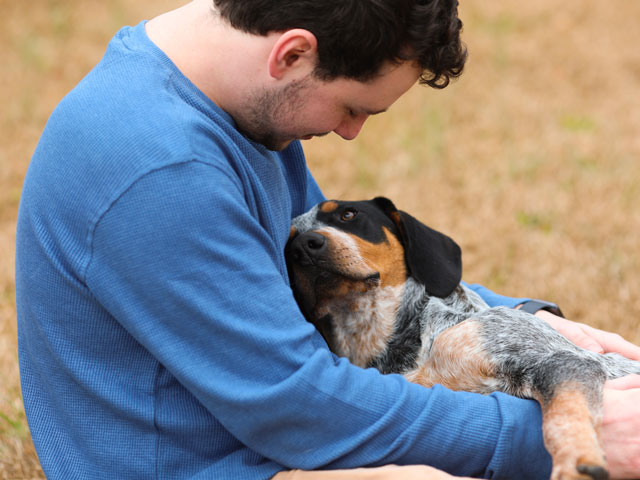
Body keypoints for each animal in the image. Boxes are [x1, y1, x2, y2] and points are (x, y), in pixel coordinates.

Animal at [288, 197, 640, 480]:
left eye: (348, 214)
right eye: (289, 241)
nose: (305, 245)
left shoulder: (558, 360)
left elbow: (562, 418)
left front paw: (576, 463)